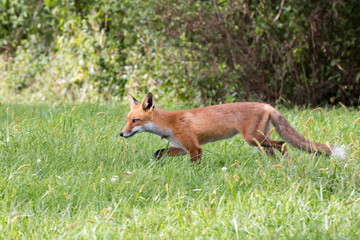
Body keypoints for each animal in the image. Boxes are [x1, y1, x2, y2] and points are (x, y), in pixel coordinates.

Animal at [119, 92, 344, 163]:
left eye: (135, 121)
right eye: (127, 119)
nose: (121, 133)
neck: (169, 123)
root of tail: (266, 105)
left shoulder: (194, 148)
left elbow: (194, 165)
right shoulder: (181, 147)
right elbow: (158, 153)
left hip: (253, 139)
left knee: (282, 144)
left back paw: (288, 165)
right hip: (259, 141)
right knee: (274, 150)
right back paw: (275, 167)